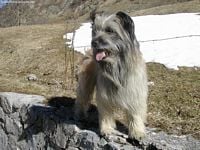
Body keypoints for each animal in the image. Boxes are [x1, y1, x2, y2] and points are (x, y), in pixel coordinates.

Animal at [75, 10, 148, 141]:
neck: (116, 66)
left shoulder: (135, 90)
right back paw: (80, 115)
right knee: (82, 98)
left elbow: (135, 113)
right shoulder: (104, 93)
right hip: (85, 82)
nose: (94, 42)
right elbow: (106, 111)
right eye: (95, 31)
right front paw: (107, 129)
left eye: (110, 30)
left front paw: (137, 131)